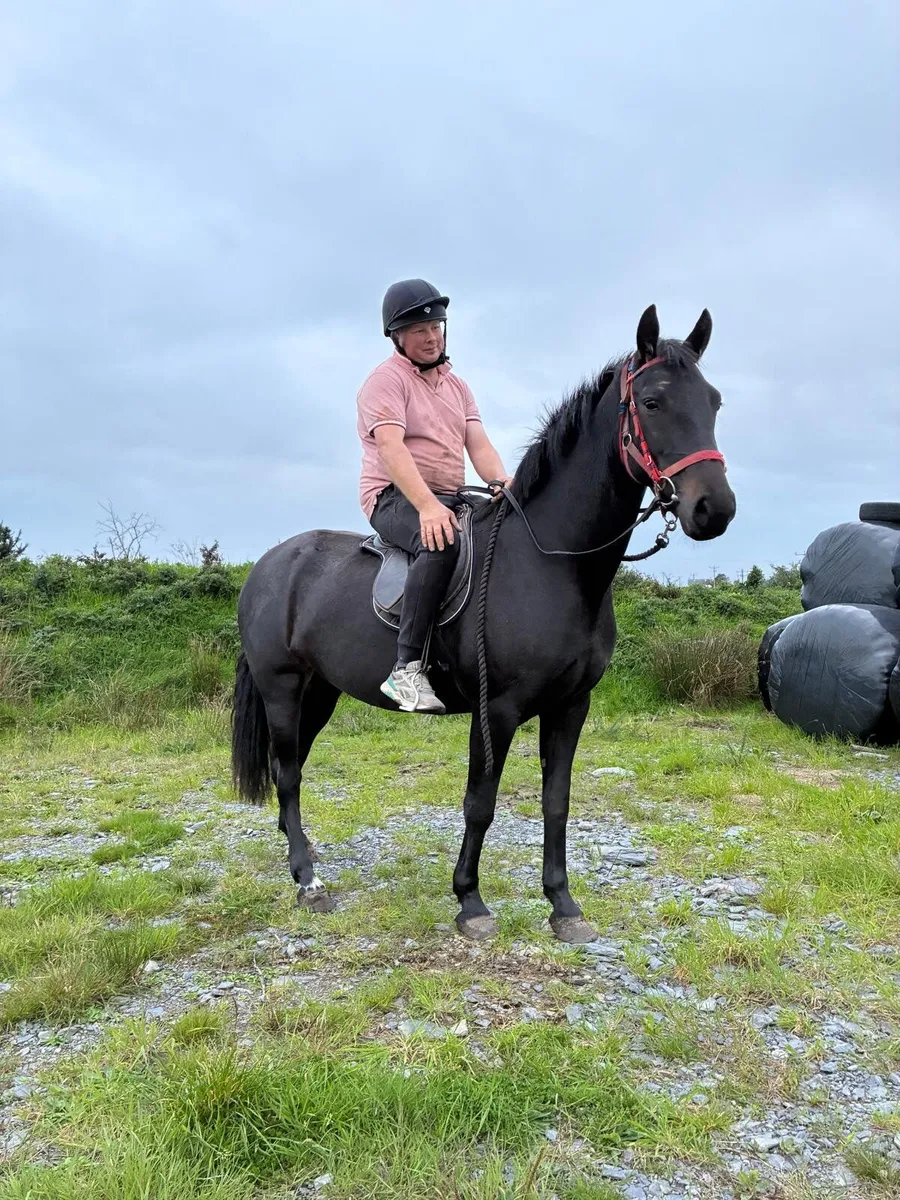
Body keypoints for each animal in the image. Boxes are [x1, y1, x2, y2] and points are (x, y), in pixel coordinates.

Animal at [231, 305, 736, 943]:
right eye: (651, 402)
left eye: (714, 401)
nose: (714, 509)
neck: (551, 563)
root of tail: (269, 564)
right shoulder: (496, 709)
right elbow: (481, 802)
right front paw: (470, 901)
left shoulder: (570, 706)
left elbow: (556, 802)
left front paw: (563, 906)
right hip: (281, 688)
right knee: (289, 774)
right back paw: (306, 880)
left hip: (318, 693)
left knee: (290, 765)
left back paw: (304, 855)